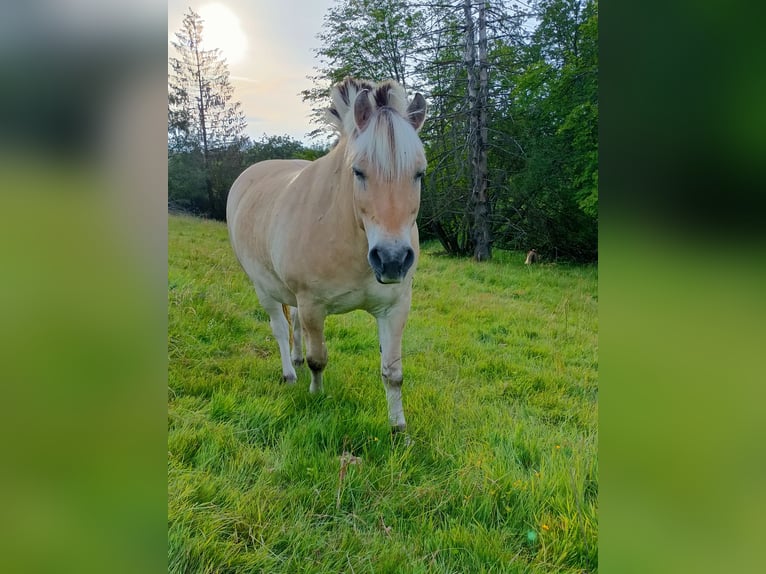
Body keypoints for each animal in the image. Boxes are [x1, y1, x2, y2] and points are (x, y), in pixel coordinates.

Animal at [228, 79, 432, 434]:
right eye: (358, 172)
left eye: (419, 173)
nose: (391, 259)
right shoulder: (313, 305)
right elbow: (318, 359)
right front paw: (316, 396)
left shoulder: (395, 308)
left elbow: (393, 374)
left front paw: (398, 430)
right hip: (263, 288)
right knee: (280, 327)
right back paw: (289, 373)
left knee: (293, 324)